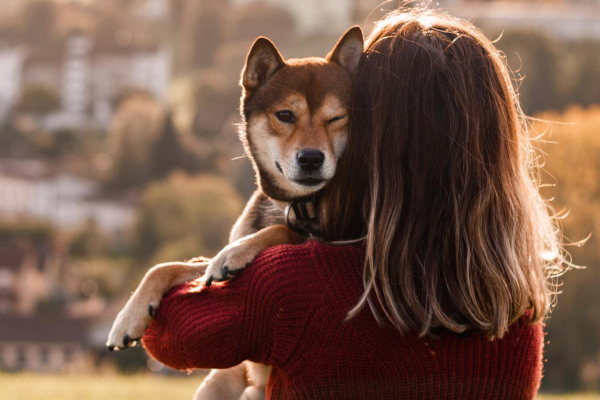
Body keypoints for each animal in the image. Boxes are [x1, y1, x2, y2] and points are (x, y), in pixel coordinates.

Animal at [106, 26, 364, 398]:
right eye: (285, 115)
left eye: (337, 118)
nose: (312, 159)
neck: (292, 204)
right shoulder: (205, 267)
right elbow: (166, 266)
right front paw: (128, 318)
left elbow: (280, 232)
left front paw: (239, 252)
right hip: (219, 381)